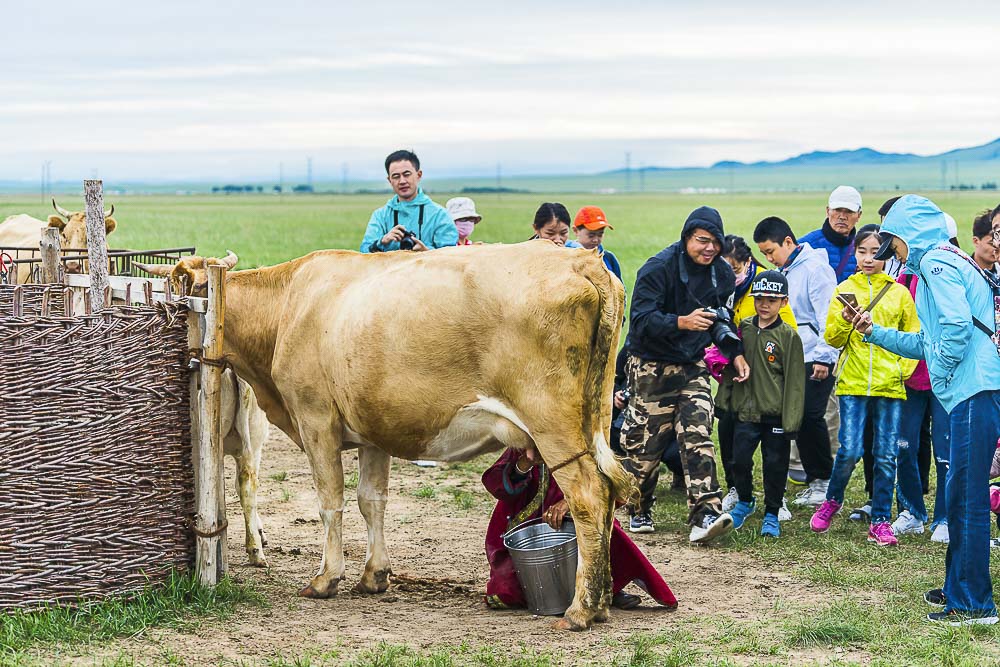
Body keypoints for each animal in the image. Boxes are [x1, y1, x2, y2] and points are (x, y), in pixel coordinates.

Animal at [153, 243, 628, 628]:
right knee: (608, 495)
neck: (288, 305)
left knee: (588, 496)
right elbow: (372, 501)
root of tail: (582, 261)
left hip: (555, 428)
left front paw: (326, 578)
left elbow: (330, 502)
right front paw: (374, 574)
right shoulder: (371, 433)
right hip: (596, 420)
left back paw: (581, 610)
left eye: (179, 295)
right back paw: (602, 601)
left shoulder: (316, 421)